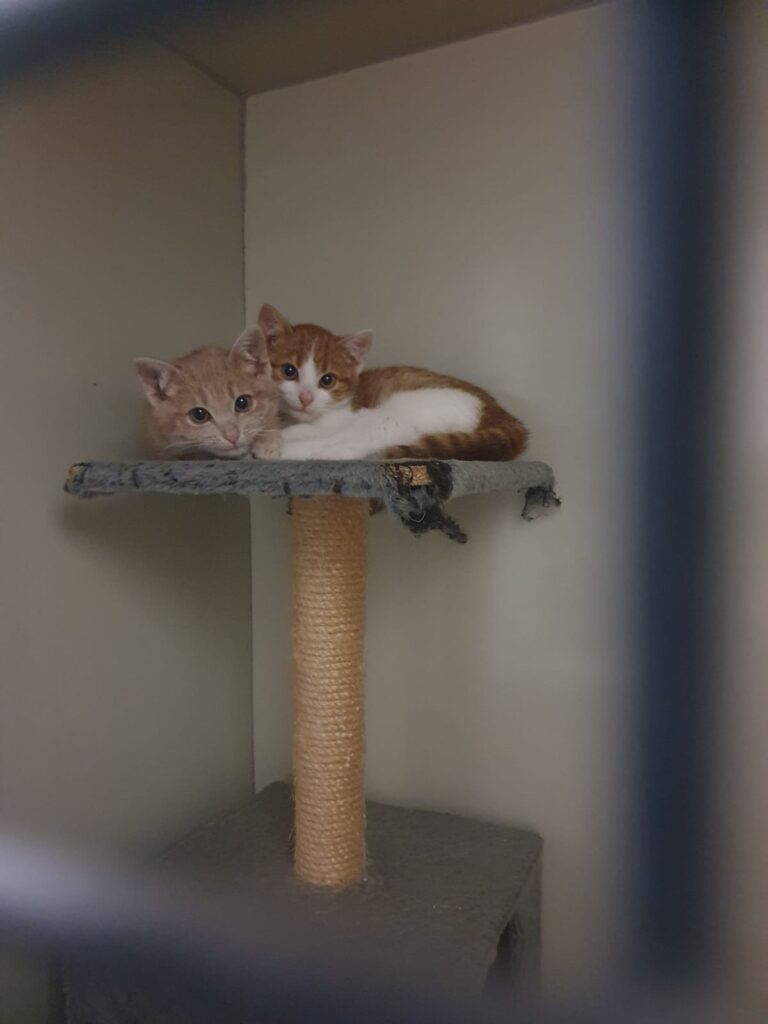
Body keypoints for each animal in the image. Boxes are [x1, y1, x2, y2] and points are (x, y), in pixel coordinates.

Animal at [245, 304, 528, 462]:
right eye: (289, 371)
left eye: (327, 380)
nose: (305, 398)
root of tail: (501, 413)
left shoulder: (347, 416)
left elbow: (319, 432)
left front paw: (276, 442)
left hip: (398, 413)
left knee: (348, 447)